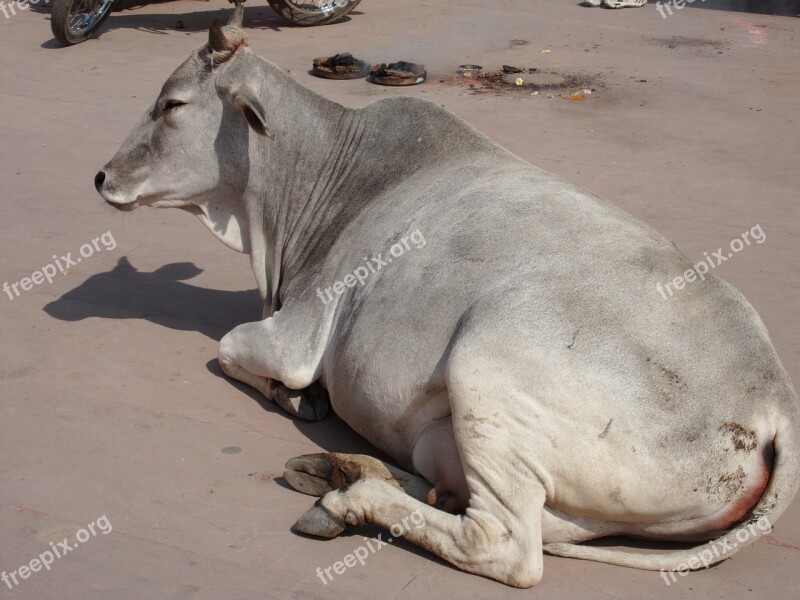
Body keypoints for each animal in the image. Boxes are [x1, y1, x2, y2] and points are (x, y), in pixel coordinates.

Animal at [95, 15, 800, 592]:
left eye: (171, 104)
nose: (100, 176)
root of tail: (774, 400)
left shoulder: (297, 334)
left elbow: (229, 350)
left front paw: (295, 398)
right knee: (462, 493)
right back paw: (338, 470)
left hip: (485, 368)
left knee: (502, 545)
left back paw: (348, 499)